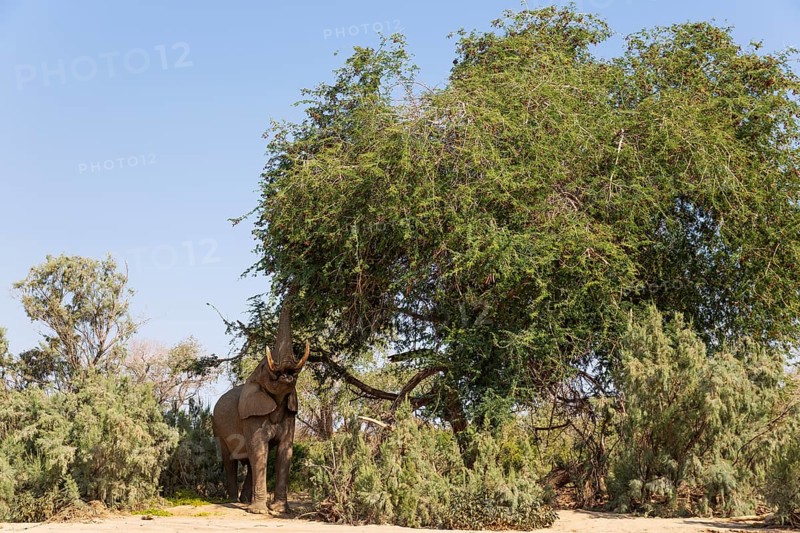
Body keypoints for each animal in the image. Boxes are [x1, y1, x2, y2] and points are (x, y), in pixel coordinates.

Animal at [212, 300, 309, 514]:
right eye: (265, 367)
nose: (288, 374)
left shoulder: (290, 414)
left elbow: (285, 451)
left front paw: (279, 510)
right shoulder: (250, 417)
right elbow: (259, 450)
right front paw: (259, 511)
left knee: (248, 462)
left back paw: (244, 501)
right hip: (218, 430)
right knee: (230, 461)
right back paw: (234, 500)